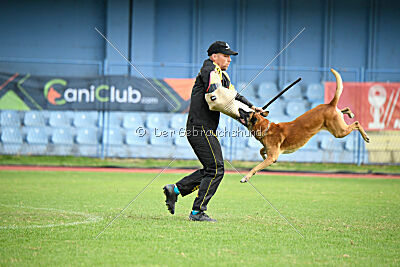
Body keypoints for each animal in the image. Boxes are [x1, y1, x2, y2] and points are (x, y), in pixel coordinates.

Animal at [239, 68, 370, 183]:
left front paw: (246, 177)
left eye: (247, 113)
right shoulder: (270, 152)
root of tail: (330, 104)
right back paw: (349, 112)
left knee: (356, 123)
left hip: (339, 132)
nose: (239, 108)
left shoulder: (272, 156)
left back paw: (365, 136)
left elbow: (256, 166)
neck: (266, 128)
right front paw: (262, 159)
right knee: (344, 111)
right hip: (338, 123)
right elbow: (261, 151)